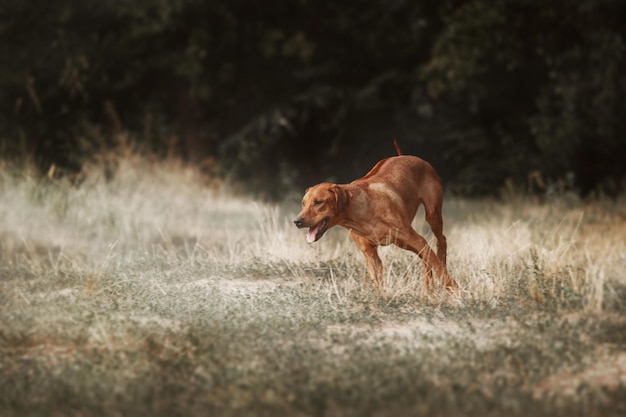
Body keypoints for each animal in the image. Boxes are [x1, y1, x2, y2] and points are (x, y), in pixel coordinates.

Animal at [292, 143, 454, 292]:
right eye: (303, 203)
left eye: (318, 202)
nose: (297, 221)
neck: (361, 213)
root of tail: (408, 156)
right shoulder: (370, 255)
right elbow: (377, 282)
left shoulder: (416, 240)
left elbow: (439, 268)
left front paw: (456, 291)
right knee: (425, 259)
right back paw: (428, 288)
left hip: (432, 215)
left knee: (441, 242)